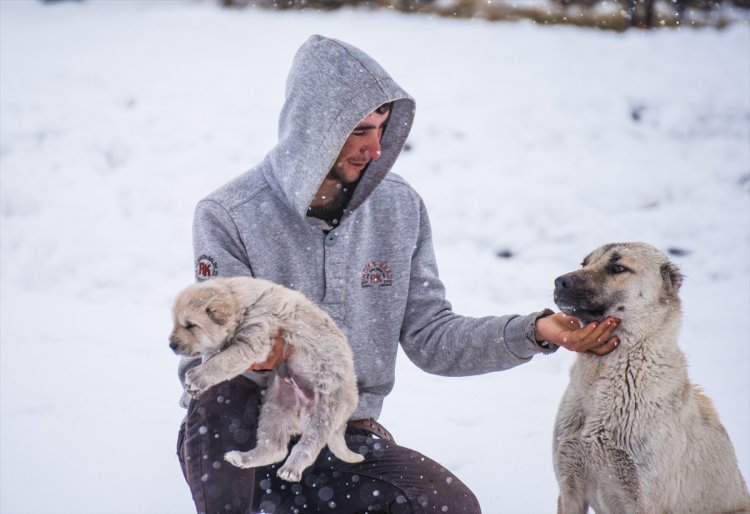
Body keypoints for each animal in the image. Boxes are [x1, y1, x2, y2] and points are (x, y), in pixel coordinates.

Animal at [171, 276, 370, 480]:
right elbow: (214, 357)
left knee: (307, 445)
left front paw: (197, 376)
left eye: (190, 325)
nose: (172, 345)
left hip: (325, 413)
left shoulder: (253, 341)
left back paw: (291, 469)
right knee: (275, 448)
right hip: (276, 407)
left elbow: (222, 360)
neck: (243, 304)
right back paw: (240, 458)